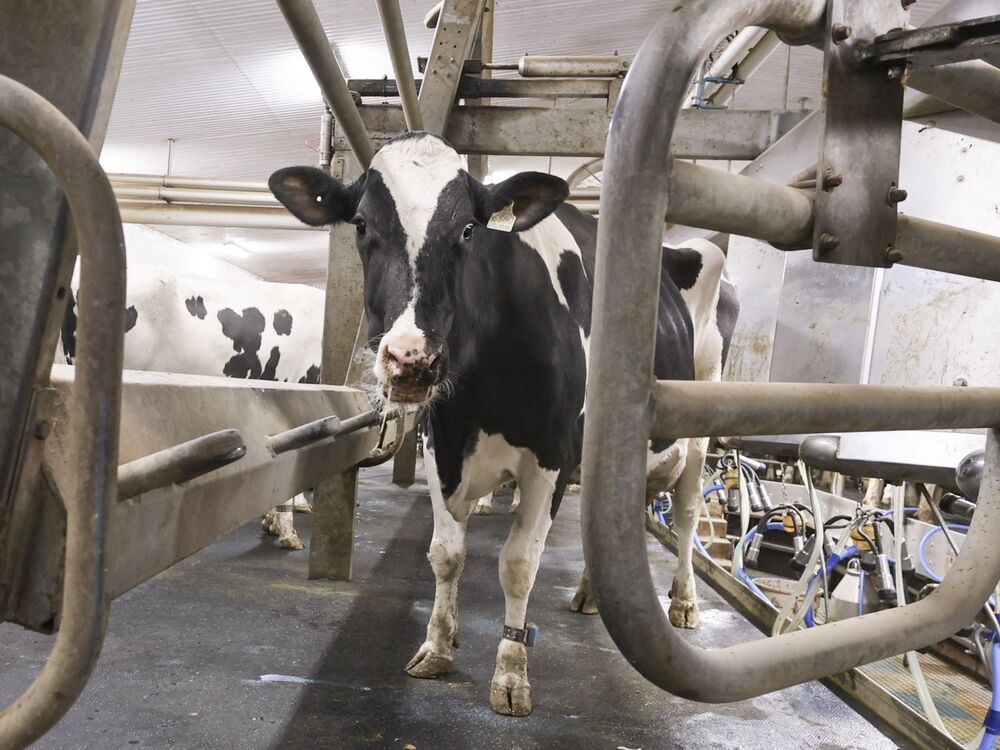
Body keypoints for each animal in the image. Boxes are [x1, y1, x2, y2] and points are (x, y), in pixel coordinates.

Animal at [269, 131, 738, 717]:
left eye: (468, 229)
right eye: (359, 224)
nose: (411, 361)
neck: (483, 385)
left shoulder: (551, 456)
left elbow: (518, 564)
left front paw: (512, 673)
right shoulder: (442, 443)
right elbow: (446, 554)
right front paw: (438, 643)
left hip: (698, 423)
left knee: (689, 514)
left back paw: (684, 602)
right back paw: (592, 593)